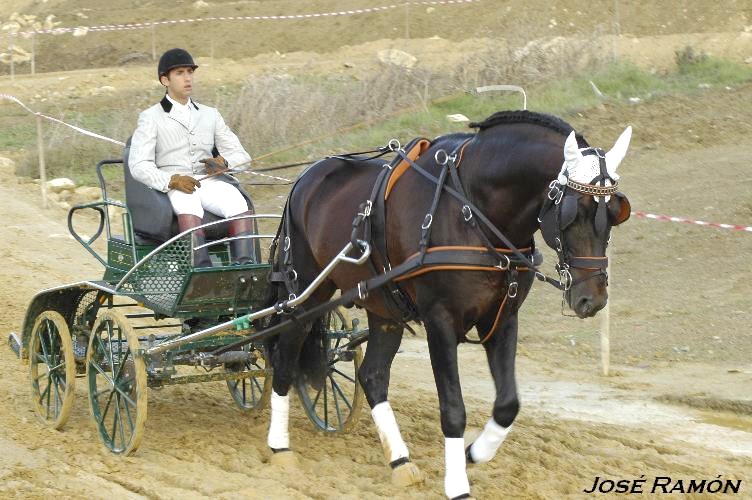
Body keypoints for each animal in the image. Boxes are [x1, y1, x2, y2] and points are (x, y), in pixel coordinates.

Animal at [262, 111, 628, 498]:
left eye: (614, 212)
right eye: (575, 210)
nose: (592, 298)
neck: (472, 210)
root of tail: (307, 177)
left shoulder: (502, 318)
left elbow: (508, 405)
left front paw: (476, 452)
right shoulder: (440, 321)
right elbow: (453, 409)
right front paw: (457, 484)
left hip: (384, 306)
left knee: (372, 376)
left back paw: (400, 461)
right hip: (306, 293)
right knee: (284, 358)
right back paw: (280, 447)